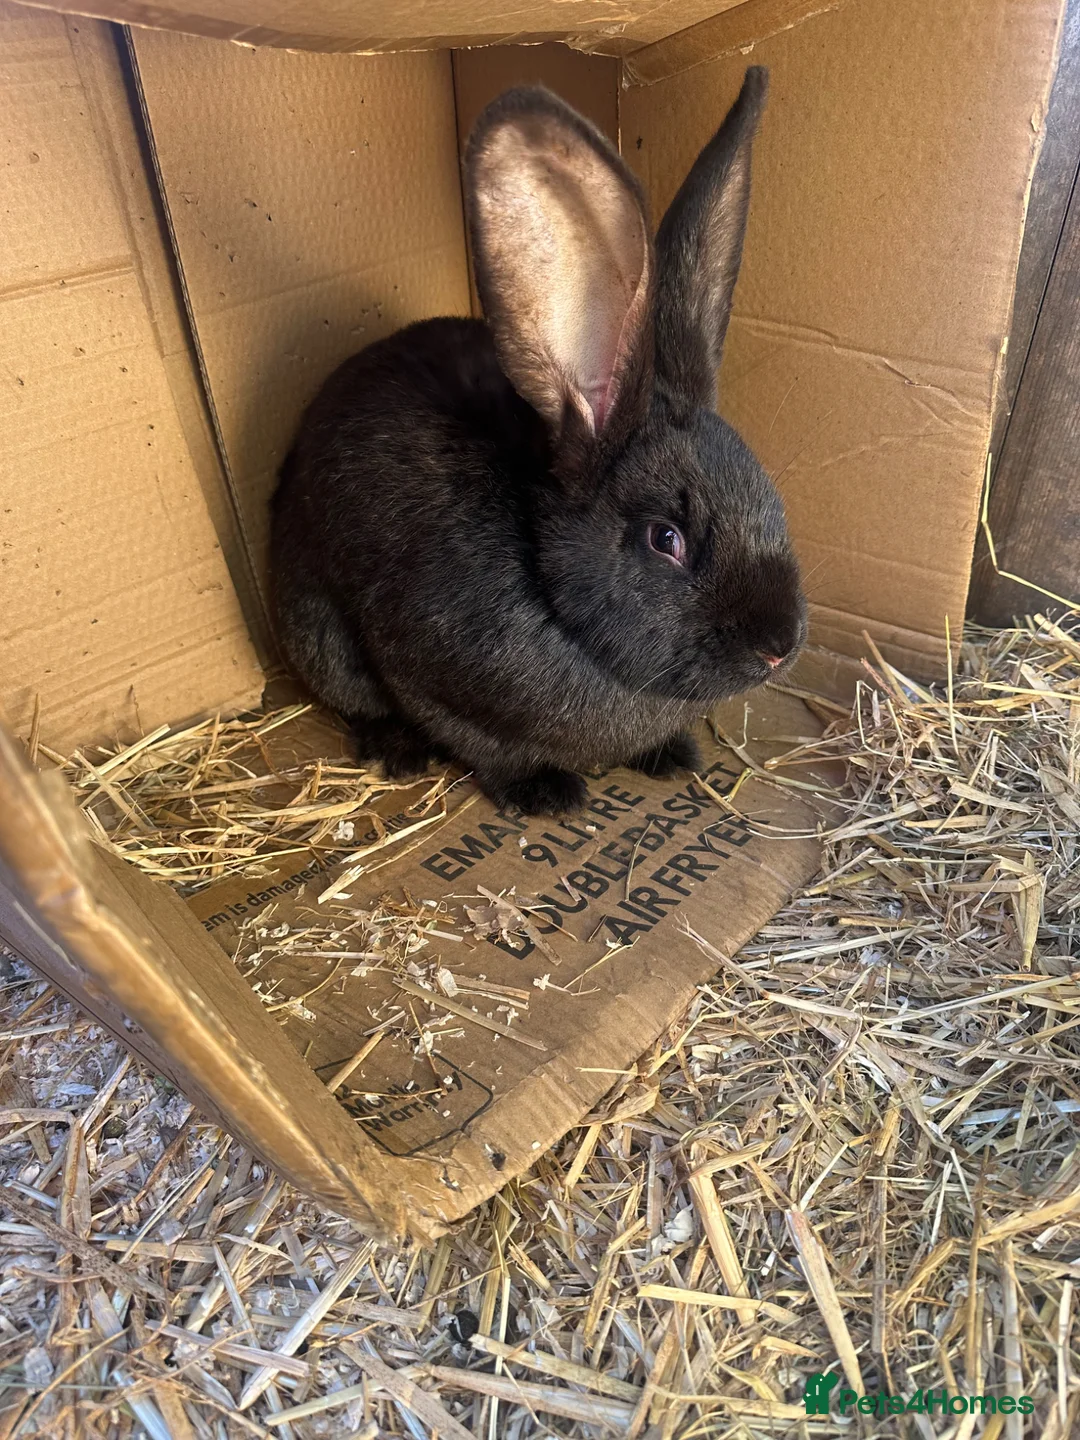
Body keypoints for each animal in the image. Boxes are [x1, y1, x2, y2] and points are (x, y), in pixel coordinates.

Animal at [269, 67, 805, 818]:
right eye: (665, 539)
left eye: (771, 498)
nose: (780, 646)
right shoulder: (420, 672)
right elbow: (485, 745)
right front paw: (545, 794)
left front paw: (671, 755)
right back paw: (397, 751)